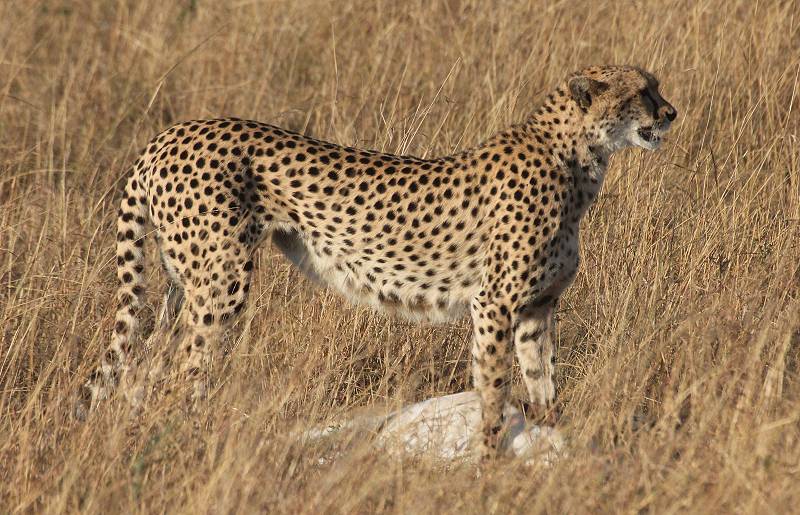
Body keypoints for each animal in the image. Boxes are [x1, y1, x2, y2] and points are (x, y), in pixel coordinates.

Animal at [86, 65, 676, 460]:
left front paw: (550, 438)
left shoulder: (537, 308)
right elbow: (492, 390)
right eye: (641, 92)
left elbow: (541, 382)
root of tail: (169, 134)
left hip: (180, 282)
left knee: (146, 366)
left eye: (656, 86)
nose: (671, 112)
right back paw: (194, 436)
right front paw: (488, 464)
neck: (576, 159)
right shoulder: (493, 305)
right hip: (221, 280)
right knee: (186, 366)